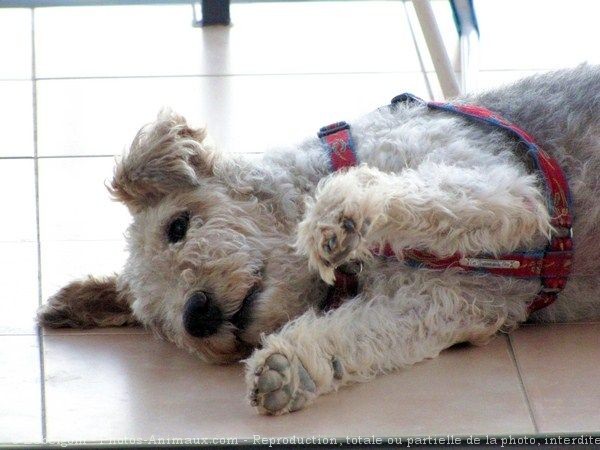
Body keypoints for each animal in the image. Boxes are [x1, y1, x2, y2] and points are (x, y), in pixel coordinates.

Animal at [38, 64, 600, 414]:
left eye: (177, 226)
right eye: (157, 323)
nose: (196, 315)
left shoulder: (511, 191)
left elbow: (412, 192)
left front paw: (337, 218)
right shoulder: (451, 300)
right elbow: (359, 333)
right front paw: (285, 370)